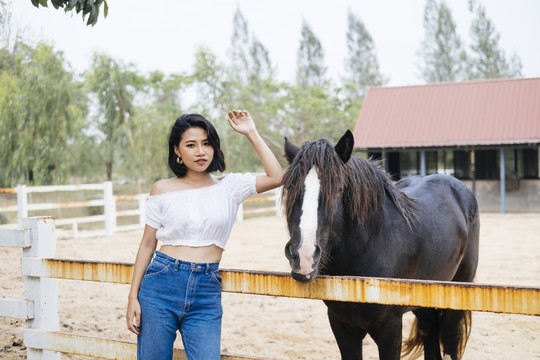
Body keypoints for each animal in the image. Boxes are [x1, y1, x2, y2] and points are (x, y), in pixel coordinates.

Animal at [280, 130, 478, 360]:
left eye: (338, 189)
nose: (303, 257)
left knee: (450, 336)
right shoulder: (341, 326)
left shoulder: (390, 329)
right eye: (290, 188)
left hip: (459, 289)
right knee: (430, 331)